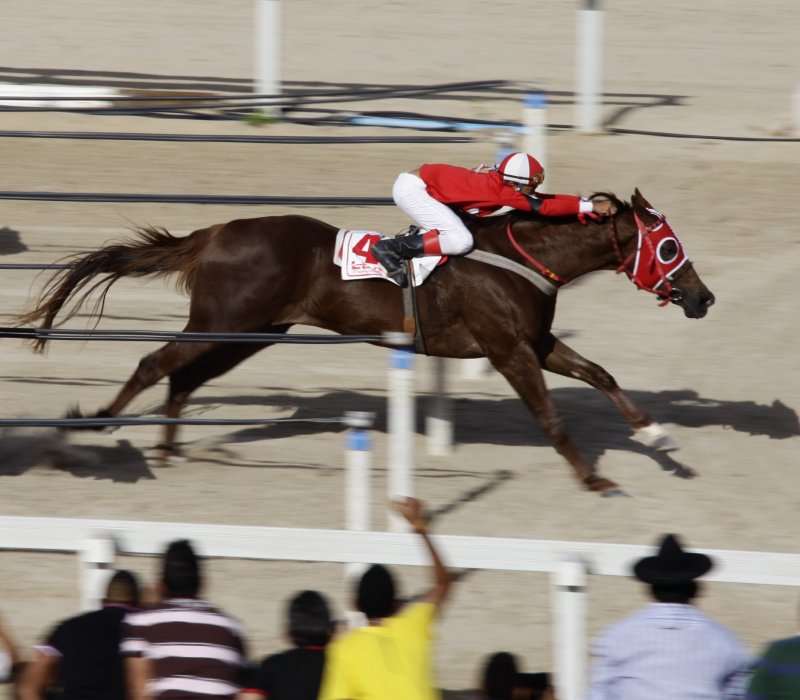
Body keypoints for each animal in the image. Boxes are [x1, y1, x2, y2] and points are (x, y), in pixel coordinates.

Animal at [15, 189, 712, 494]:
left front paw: (660, 439)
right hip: (223, 321)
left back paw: (167, 447)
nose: (702, 298)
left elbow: (601, 375)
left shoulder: (534, 342)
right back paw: (93, 427)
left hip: (252, 331)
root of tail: (212, 233)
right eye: (668, 246)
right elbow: (550, 416)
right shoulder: (508, 350)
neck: (520, 256)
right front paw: (594, 478)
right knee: (155, 360)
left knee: (182, 375)